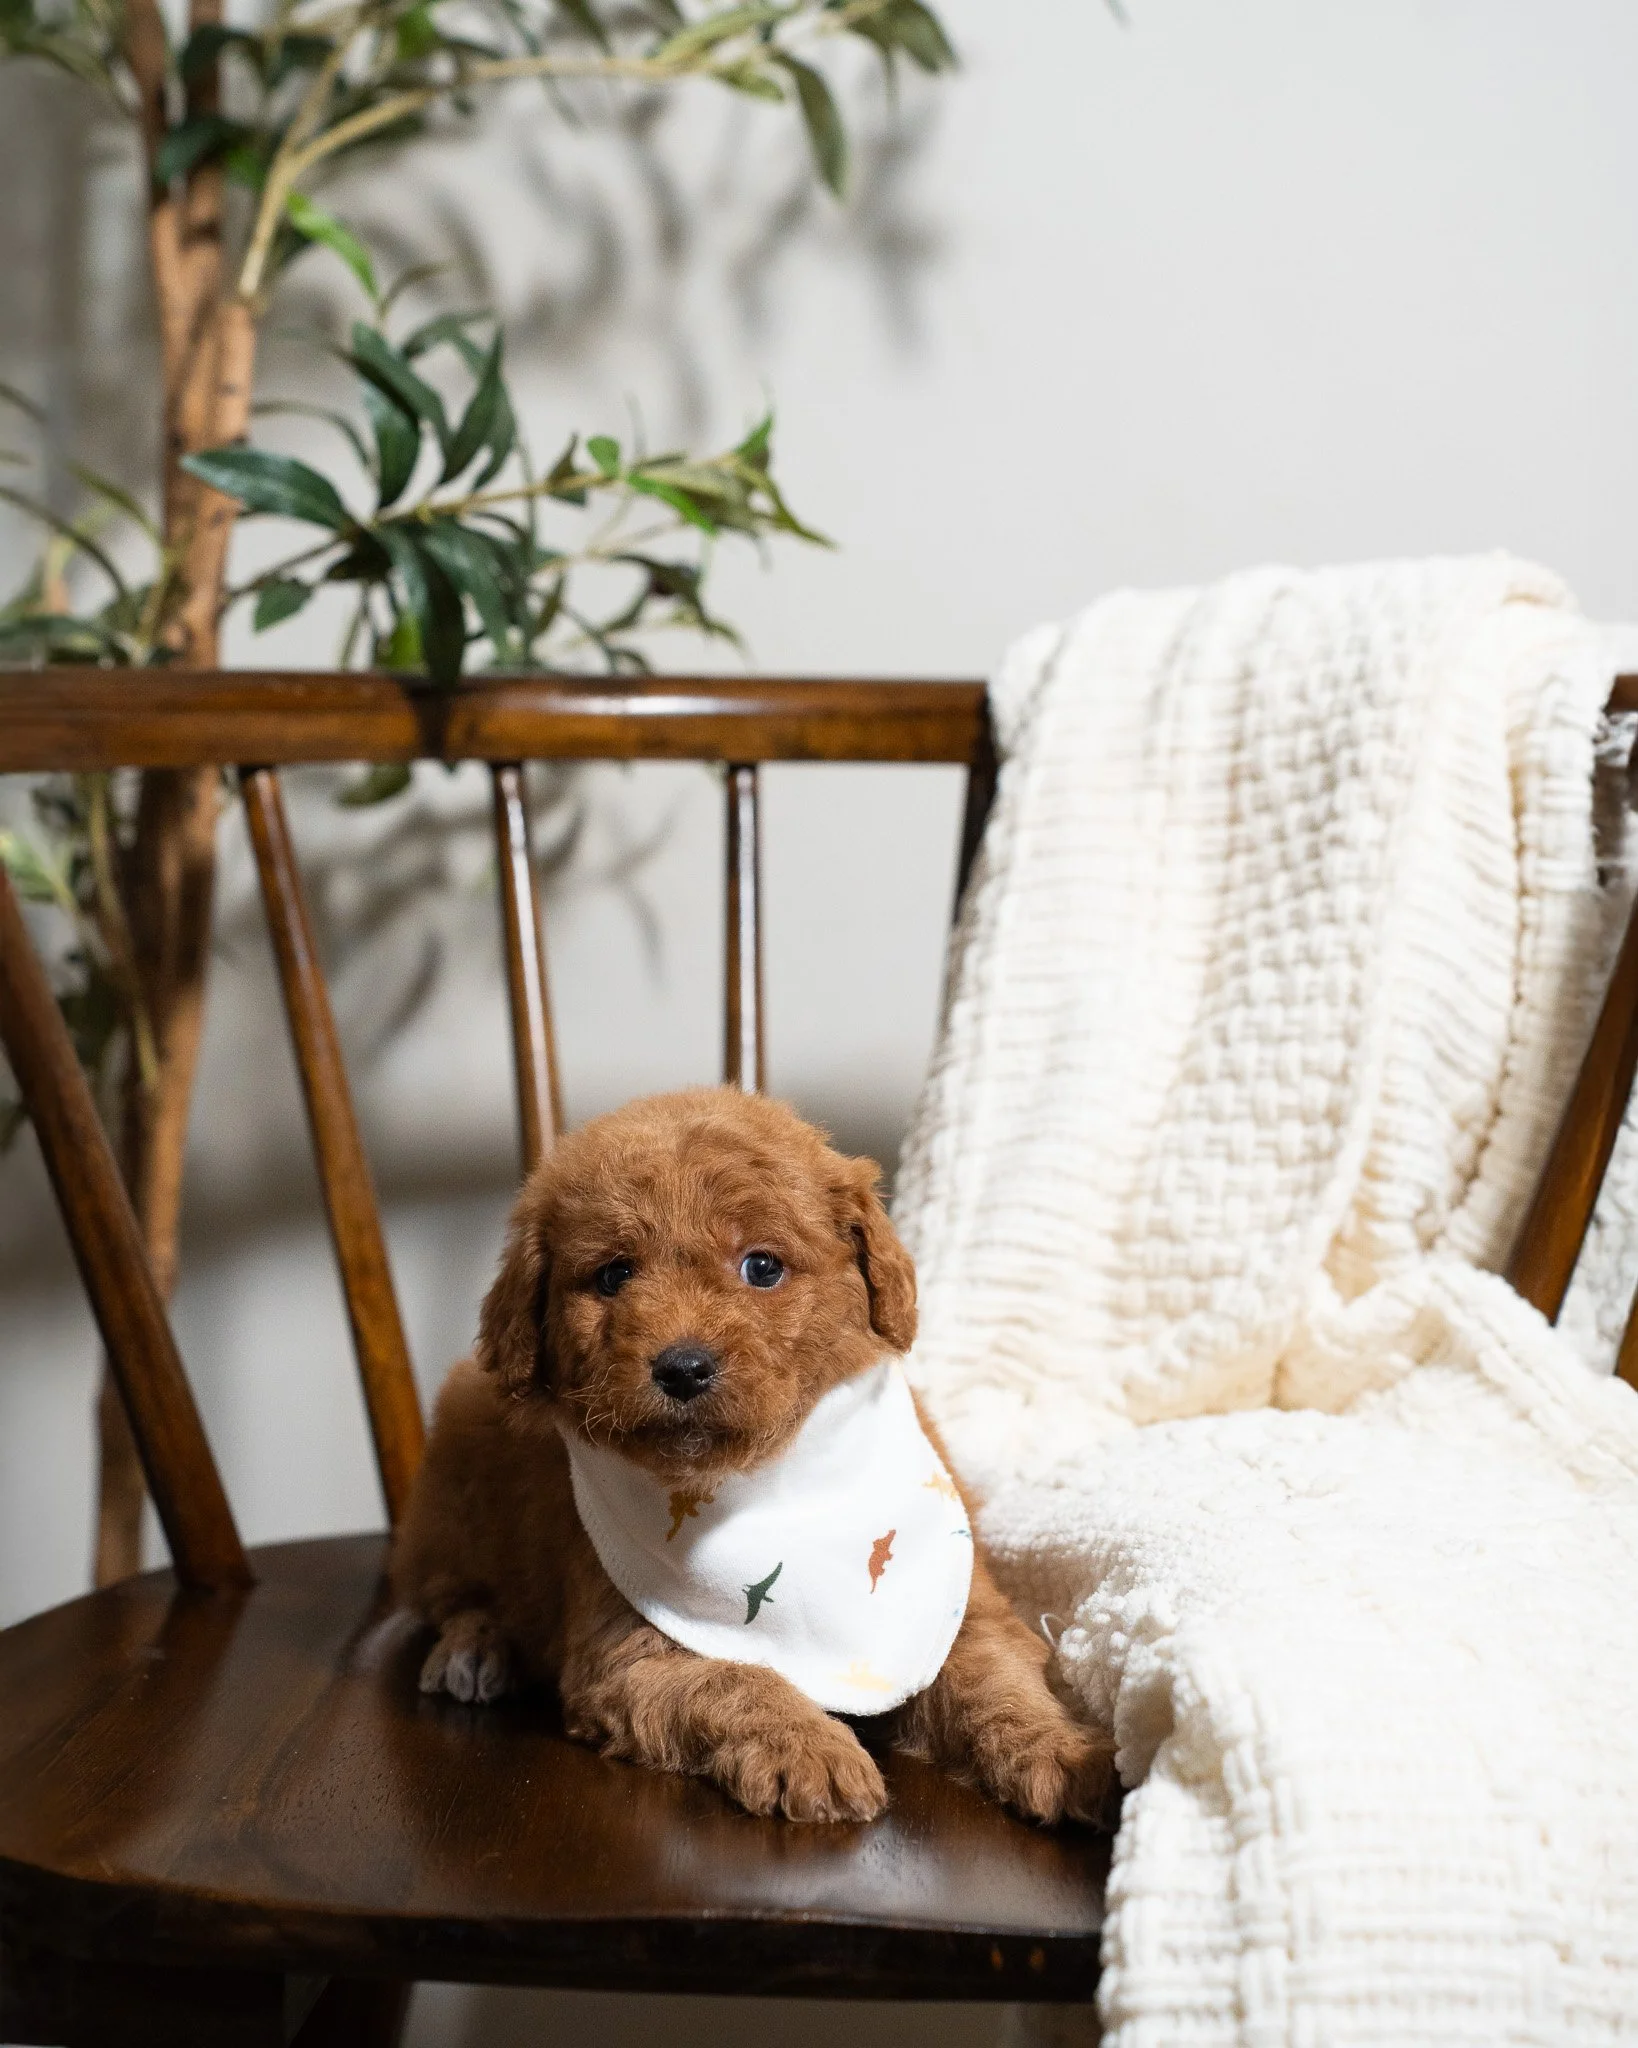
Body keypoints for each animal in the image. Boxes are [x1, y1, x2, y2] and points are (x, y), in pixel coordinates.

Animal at [392, 1087, 1116, 1826]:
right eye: (614, 1275)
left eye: (762, 1267)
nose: (682, 1368)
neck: (758, 1480)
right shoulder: (625, 1655)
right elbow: (737, 1678)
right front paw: (812, 1751)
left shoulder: (960, 1613)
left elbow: (997, 1680)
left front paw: (1063, 1752)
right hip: (451, 1494)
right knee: (448, 1594)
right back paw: (473, 1650)